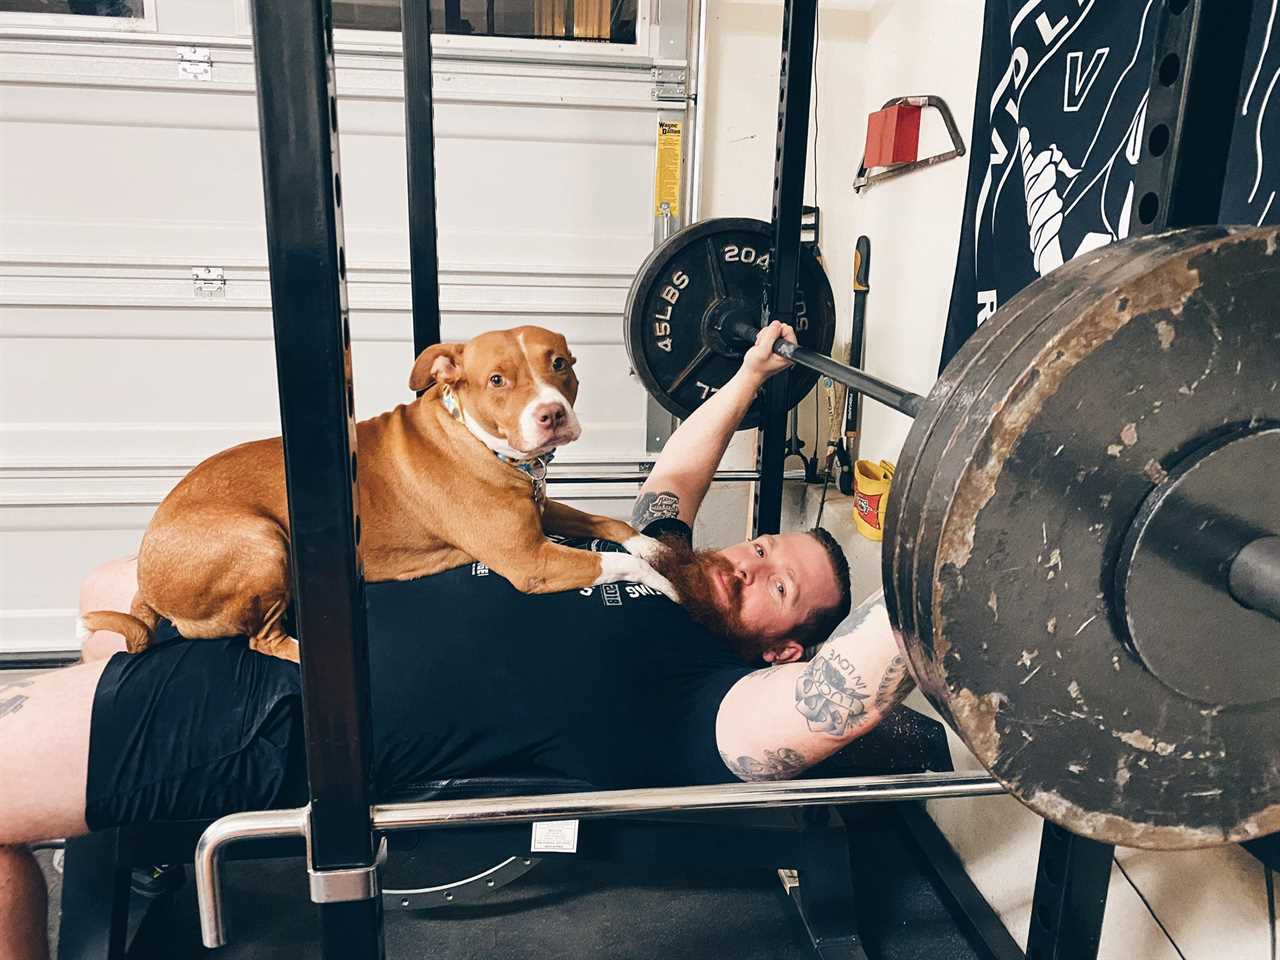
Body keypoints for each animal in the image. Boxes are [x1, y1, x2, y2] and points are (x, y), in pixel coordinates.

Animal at [80, 327, 675, 665]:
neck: (480, 442)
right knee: (261, 640)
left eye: (561, 365)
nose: (552, 414)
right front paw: (664, 580)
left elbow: (606, 524)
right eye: (497, 380)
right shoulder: (530, 561)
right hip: (262, 539)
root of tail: (146, 580)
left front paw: (651, 546)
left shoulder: (541, 510)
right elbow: (615, 563)